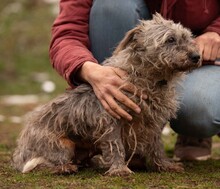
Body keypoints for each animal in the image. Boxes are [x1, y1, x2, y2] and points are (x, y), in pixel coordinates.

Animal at [11, 14, 201, 176]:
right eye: (170, 39)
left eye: (187, 37)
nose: (197, 56)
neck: (148, 78)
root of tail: (19, 154)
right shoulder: (112, 119)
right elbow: (116, 146)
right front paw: (119, 169)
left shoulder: (152, 123)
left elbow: (156, 147)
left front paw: (163, 165)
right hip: (63, 145)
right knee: (38, 165)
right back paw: (64, 168)